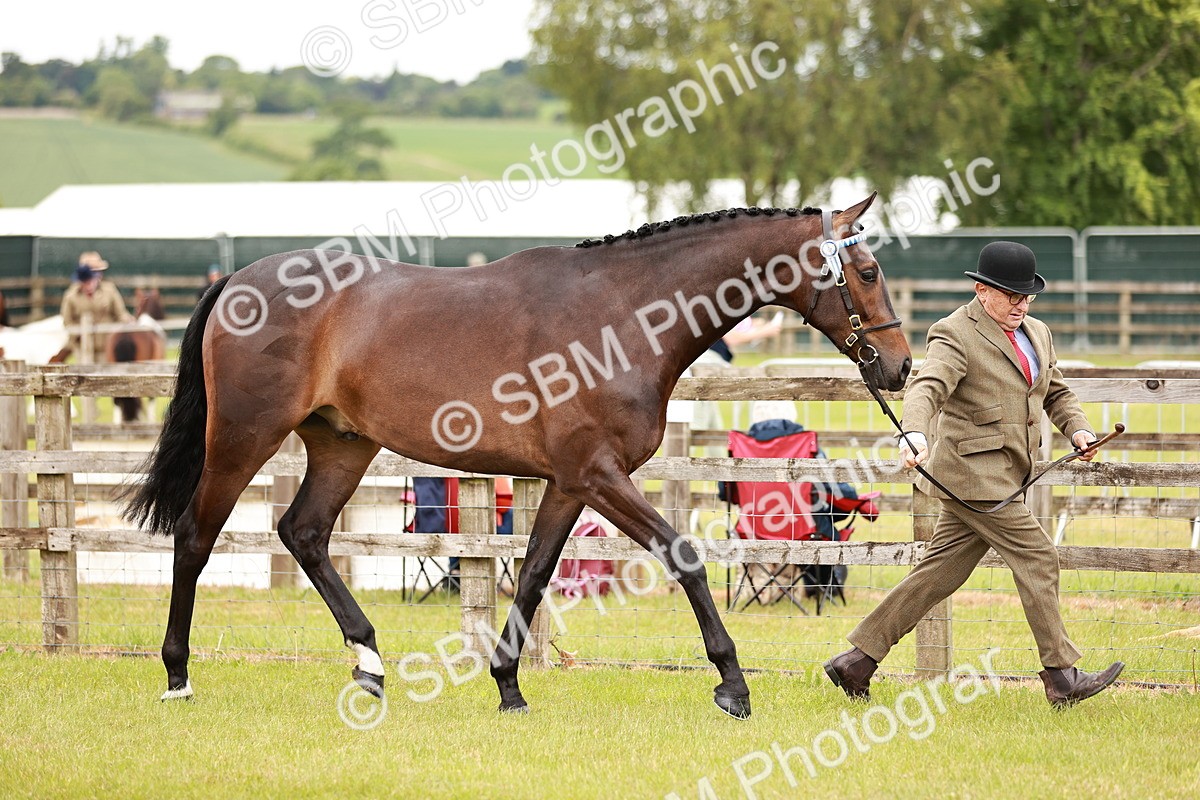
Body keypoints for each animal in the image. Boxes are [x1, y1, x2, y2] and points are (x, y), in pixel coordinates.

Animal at [123, 193, 911, 718]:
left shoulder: (569, 483)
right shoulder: (599, 474)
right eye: (868, 271)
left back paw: (370, 665)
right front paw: (732, 684)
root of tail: (237, 280)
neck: (624, 315)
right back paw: (177, 676)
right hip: (242, 438)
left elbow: (531, 574)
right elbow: (683, 555)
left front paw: (508, 685)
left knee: (305, 533)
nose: (900, 367)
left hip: (342, 445)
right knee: (195, 537)